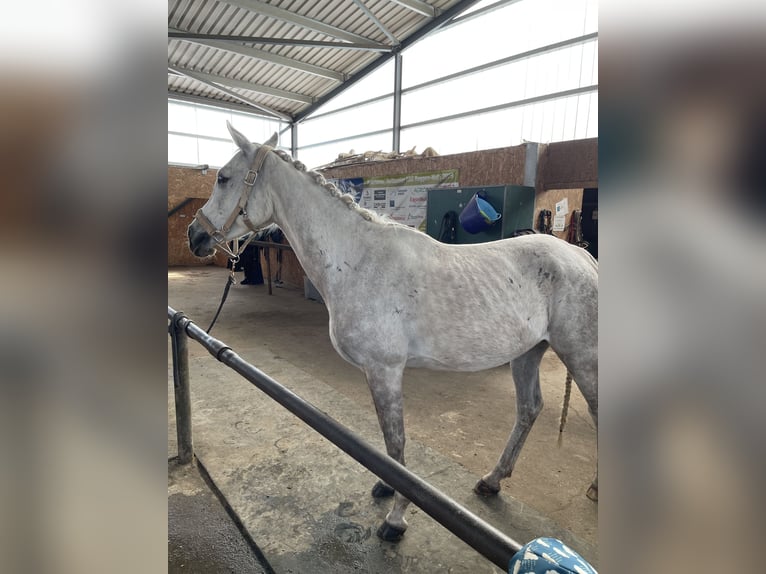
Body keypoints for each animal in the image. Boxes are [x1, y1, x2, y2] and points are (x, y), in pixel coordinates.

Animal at [187, 122, 598, 541]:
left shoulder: (385, 370)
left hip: (583, 358)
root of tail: (582, 255)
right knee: (529, 409)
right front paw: (386, 488)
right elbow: (389, 446)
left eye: (223, 178)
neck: (358, 260)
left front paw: (396, 519)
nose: (194, 236)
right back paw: (492, 480)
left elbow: (397, 444)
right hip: (528, 352)